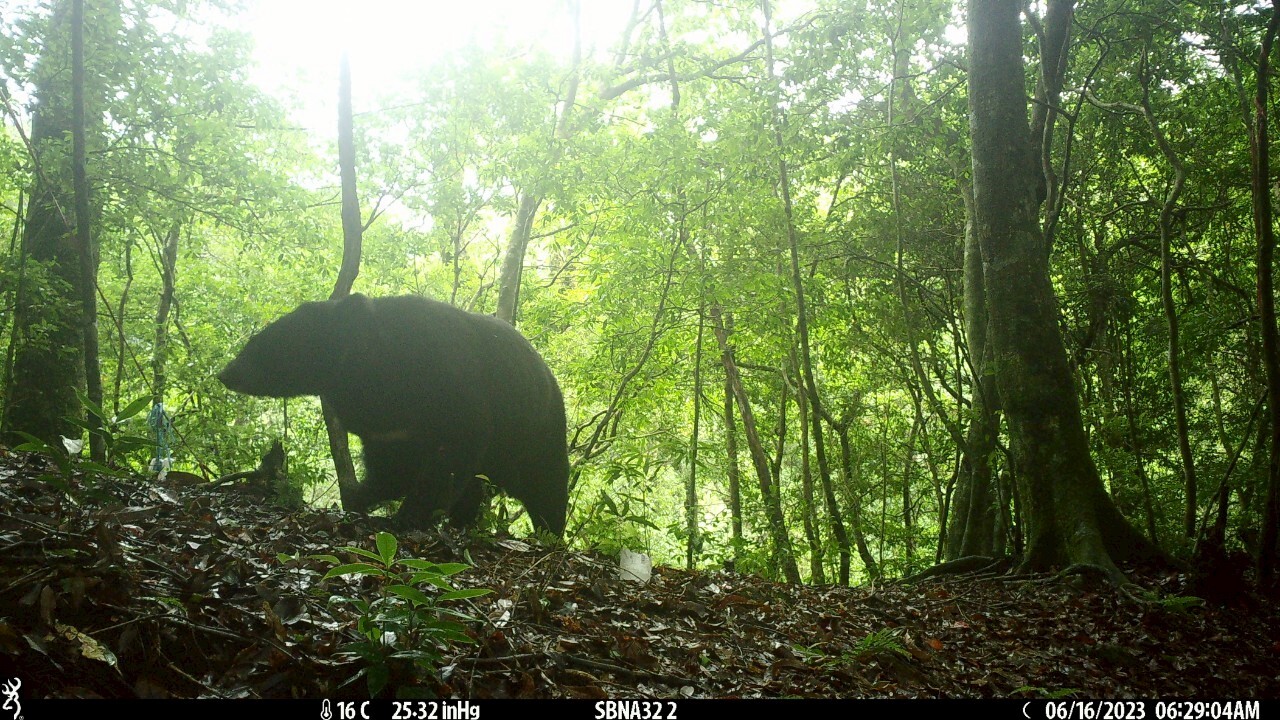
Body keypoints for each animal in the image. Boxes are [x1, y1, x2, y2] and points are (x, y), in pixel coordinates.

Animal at [217, 293, 569, 537]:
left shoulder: (457, 398)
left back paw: (548, 535)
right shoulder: (388, 430)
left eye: (266, 344)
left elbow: (446, 465)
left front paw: (408, 515)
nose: (226, 373)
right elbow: (392, 469)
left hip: (536, 435)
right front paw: (361, 498)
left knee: (546, 485)